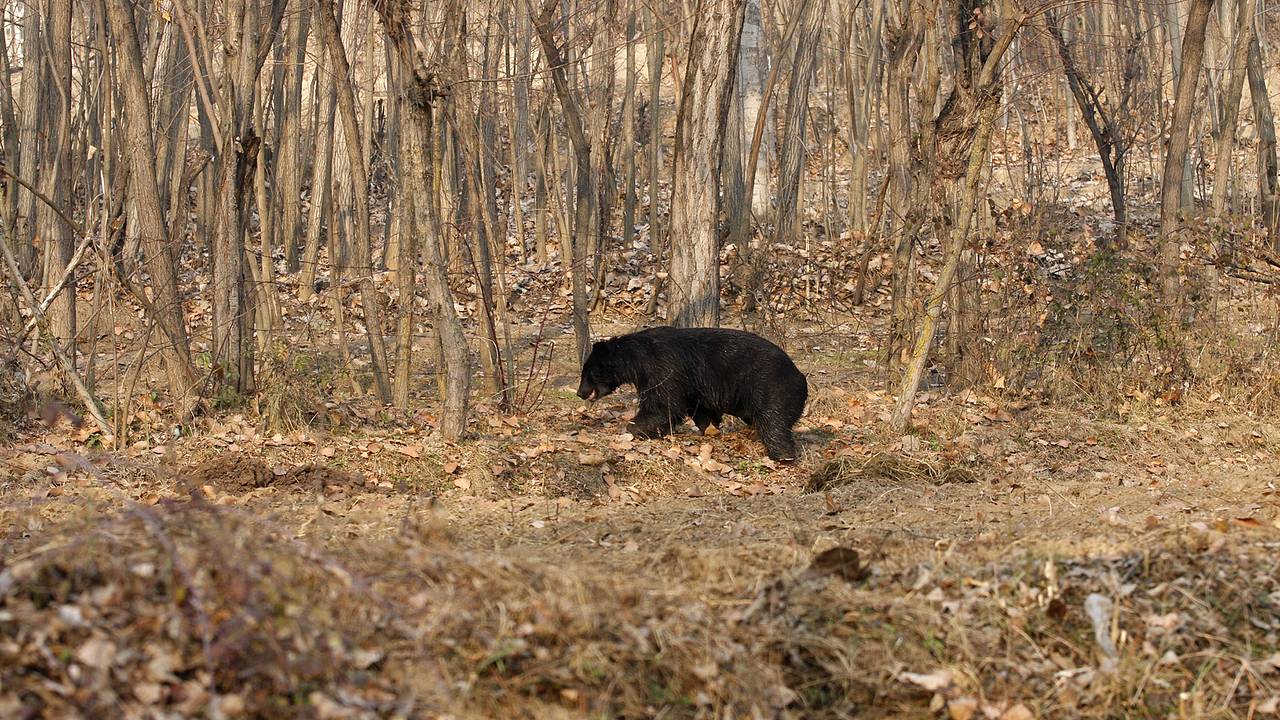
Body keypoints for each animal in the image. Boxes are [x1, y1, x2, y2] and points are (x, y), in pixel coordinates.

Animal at [576, 327, 809, 462]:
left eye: (587, 373)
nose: (580, 393)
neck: (636, 360)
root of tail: (800, 376)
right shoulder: (694, 385)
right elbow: (700, 410)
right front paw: (707, 429)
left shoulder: (663, 368)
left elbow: (663, 405)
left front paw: (634, 428)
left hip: (770, 388)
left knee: (773, 422)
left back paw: (782, 455)